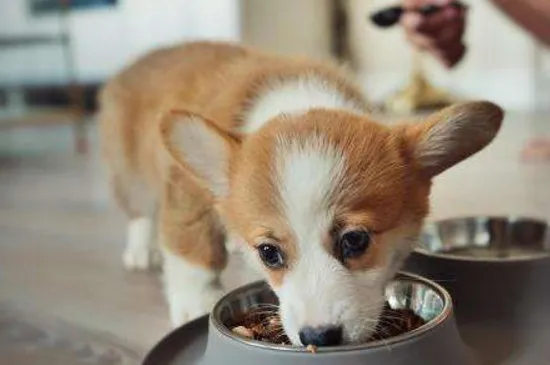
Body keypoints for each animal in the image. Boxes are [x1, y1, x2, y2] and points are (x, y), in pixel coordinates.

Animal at [99, 41, 504, 346]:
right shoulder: (190, 193)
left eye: (355, 240)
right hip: (132, 176)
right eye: (268, 253)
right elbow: (192, 250)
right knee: (139, 212)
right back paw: (141, 250)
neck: (296, 101)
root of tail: (137, 61)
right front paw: (195, 303)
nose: (319, 338)